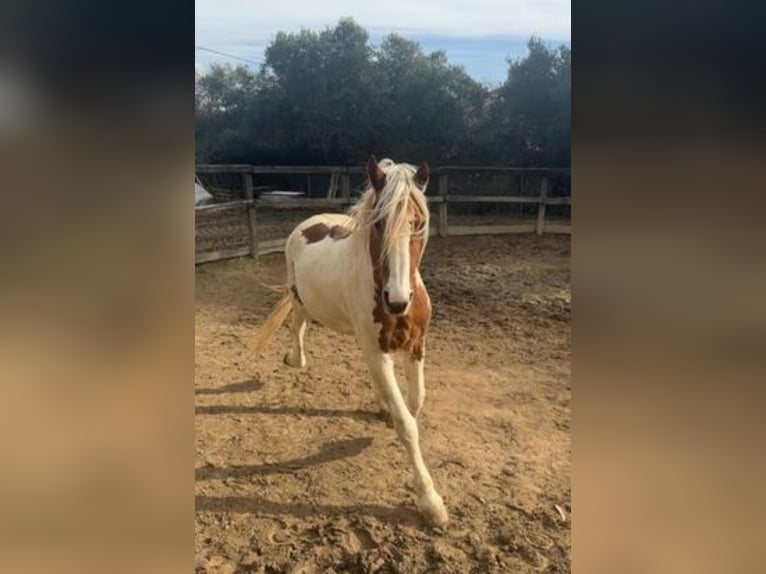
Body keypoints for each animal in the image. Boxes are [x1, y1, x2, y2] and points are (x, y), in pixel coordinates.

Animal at [253, 157, 448, 526]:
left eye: (418, 224)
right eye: (379, 224)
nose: (397, 301)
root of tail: (310, 222)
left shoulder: (415, 346)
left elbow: (415, 401)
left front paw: (386, 411)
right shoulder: (376, 351)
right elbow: (407, 424)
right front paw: (430, 501)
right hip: (300, 296)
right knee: (297, 324)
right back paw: (295, 359)